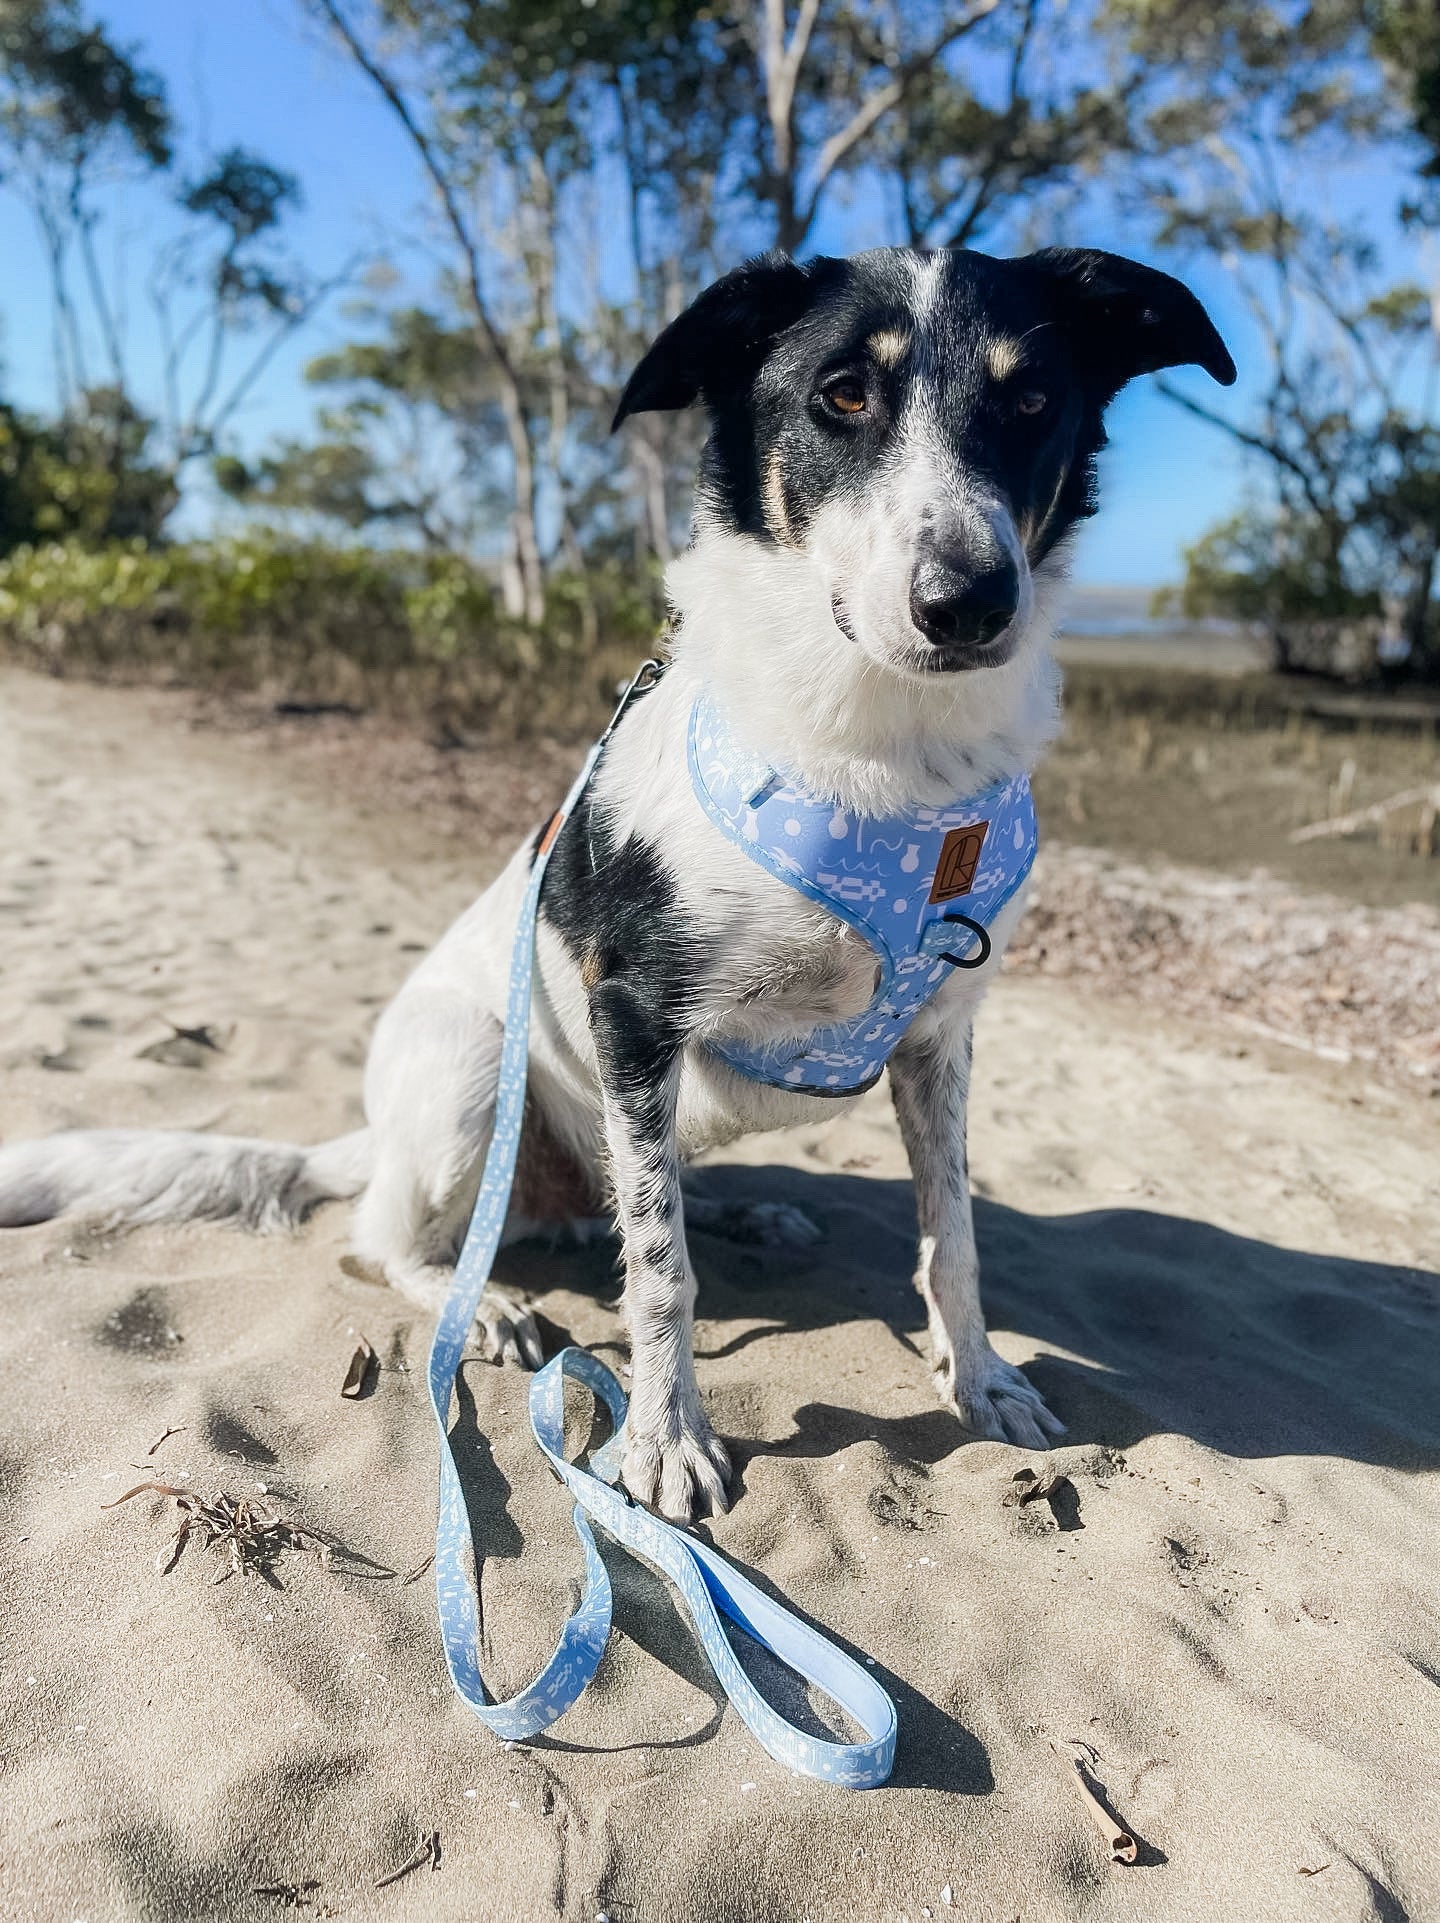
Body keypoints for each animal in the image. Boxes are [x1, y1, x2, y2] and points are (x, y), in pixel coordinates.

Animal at [2, 248, 1238, 1523]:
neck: (882, 755)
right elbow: (660, 1269)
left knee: (619, 1194)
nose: (971, 602)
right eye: (843, 394)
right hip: (466, 1075)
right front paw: (663, 1437)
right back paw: (483, 1299)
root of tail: (374, 1142)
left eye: (1032, 399)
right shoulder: (633, 1010)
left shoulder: (939, 1039)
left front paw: (982, 1376)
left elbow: (954, 1236)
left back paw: (742, 1211)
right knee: (393, 1239)